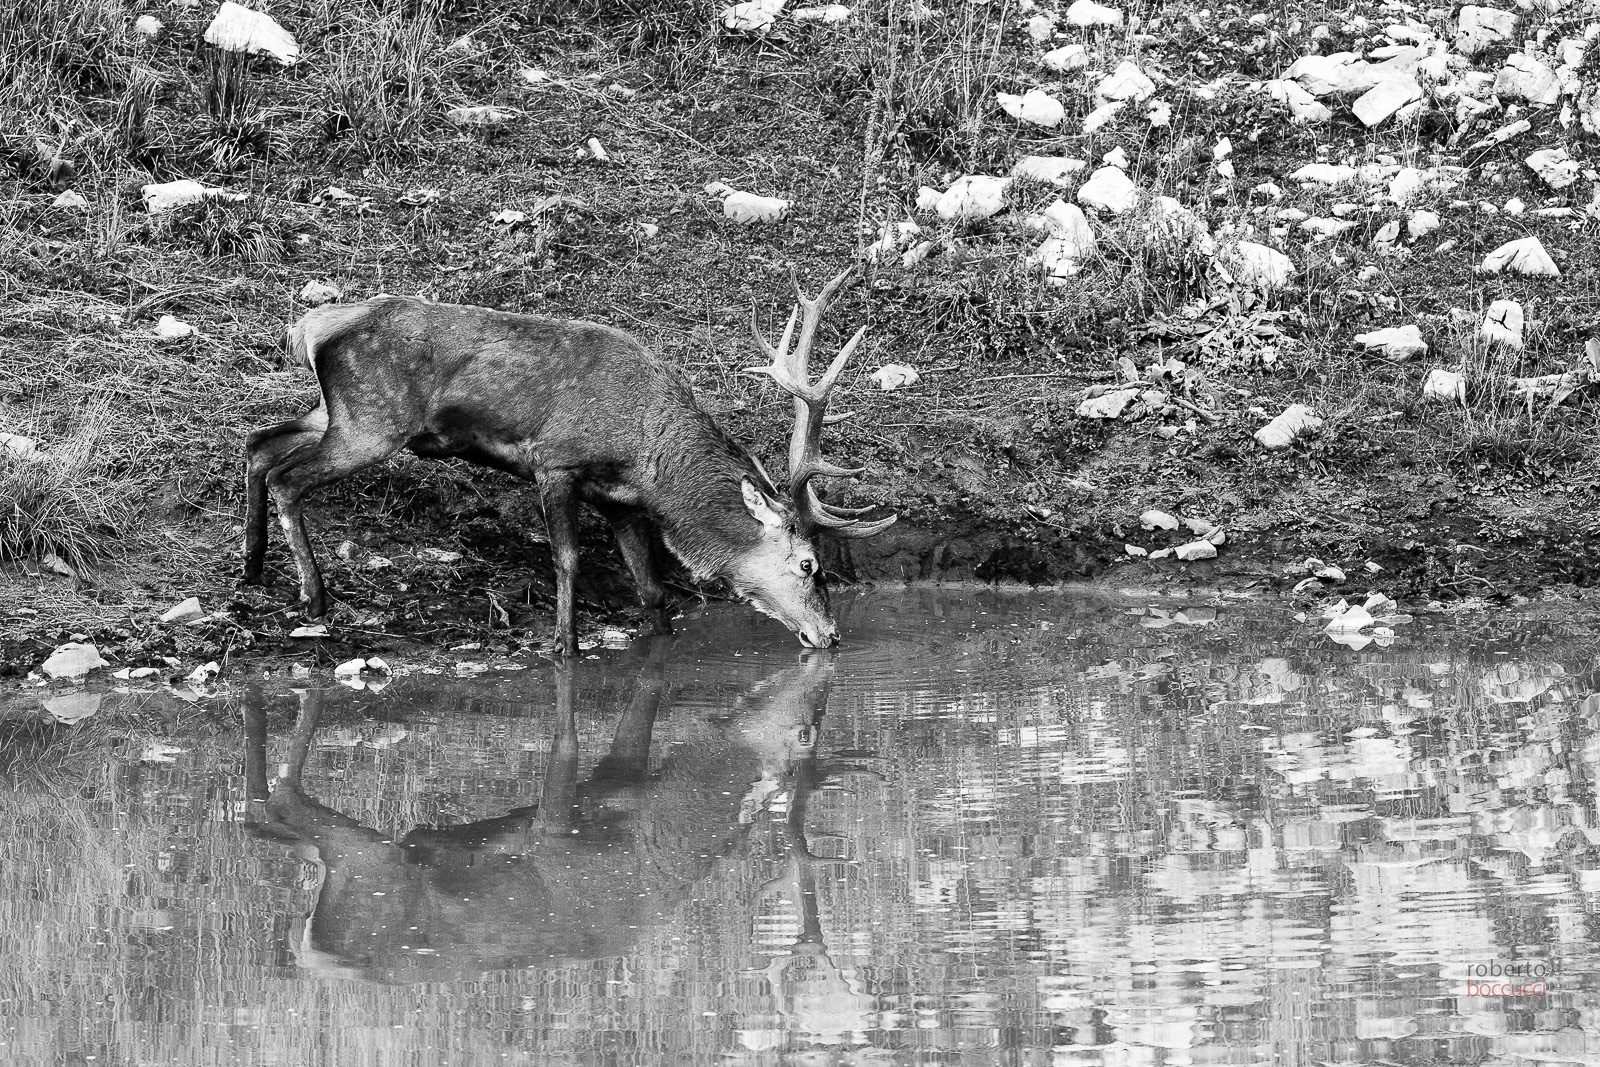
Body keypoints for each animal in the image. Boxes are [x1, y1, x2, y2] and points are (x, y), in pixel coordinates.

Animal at [241, 269, 894, 655]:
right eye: (809, 564)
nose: (830, 635)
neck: (647, 455)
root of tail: (313, 325)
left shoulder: (624, 504)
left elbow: (651, 588)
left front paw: (658, 645)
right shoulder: (555, 464)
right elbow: (568, 559)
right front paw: (565, 646)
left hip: (336, 412)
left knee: (258, 444)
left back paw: (252, 565)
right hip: (372, 421)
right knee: (288, 476)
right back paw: (313, 596)